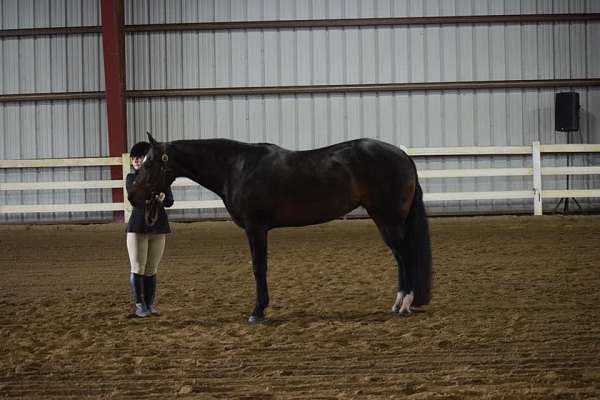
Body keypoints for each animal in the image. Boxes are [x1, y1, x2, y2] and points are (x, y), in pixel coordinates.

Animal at [130, 134, 432, 322]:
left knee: (406, 256)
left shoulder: (256, 228)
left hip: (389, 219)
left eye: (151, 163)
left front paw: (258, 312)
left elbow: (258, 267)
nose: (133, 195)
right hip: (383, 219)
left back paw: (405, 305)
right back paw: (397, 303)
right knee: (400, 258)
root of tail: (402, 155)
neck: (236, 168)